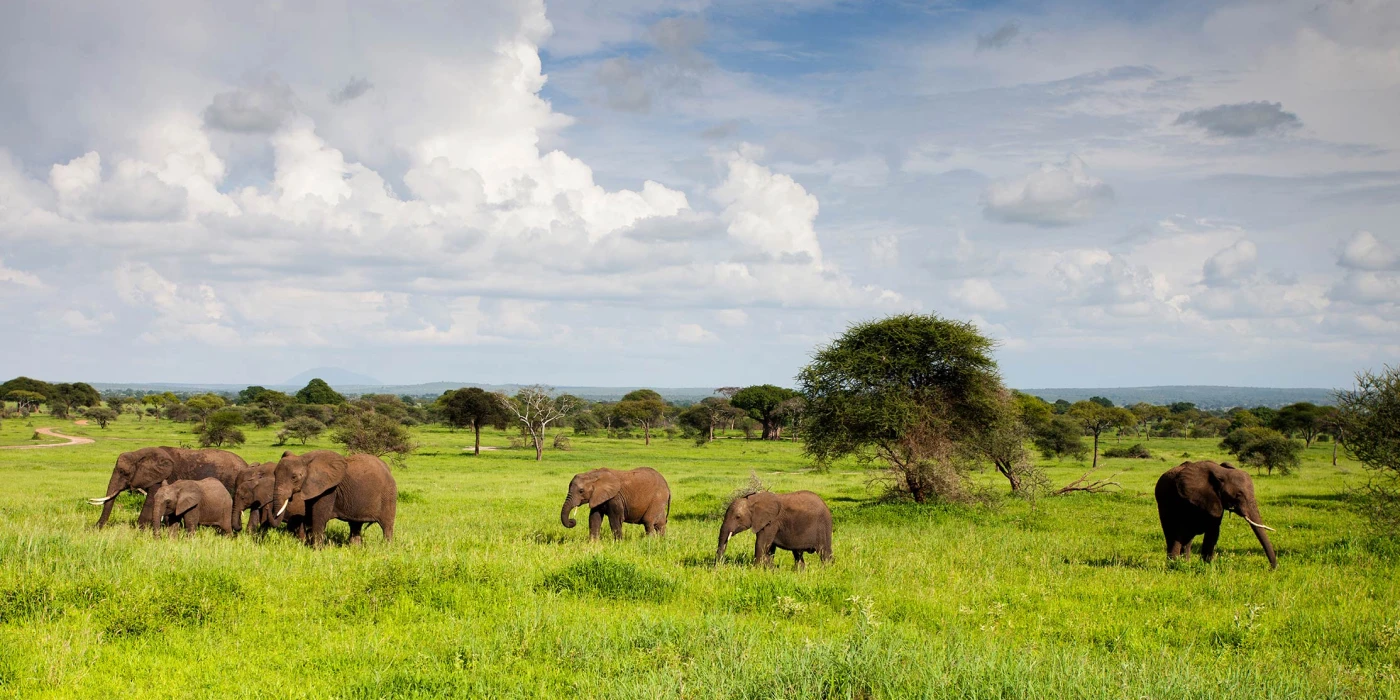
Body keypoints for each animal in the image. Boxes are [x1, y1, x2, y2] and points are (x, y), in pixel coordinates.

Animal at [88, 445, 247, 526]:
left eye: (124, 472)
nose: (96, 528)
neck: (139, 453)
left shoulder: (163, 477)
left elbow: (151, 500)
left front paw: (140, 529)